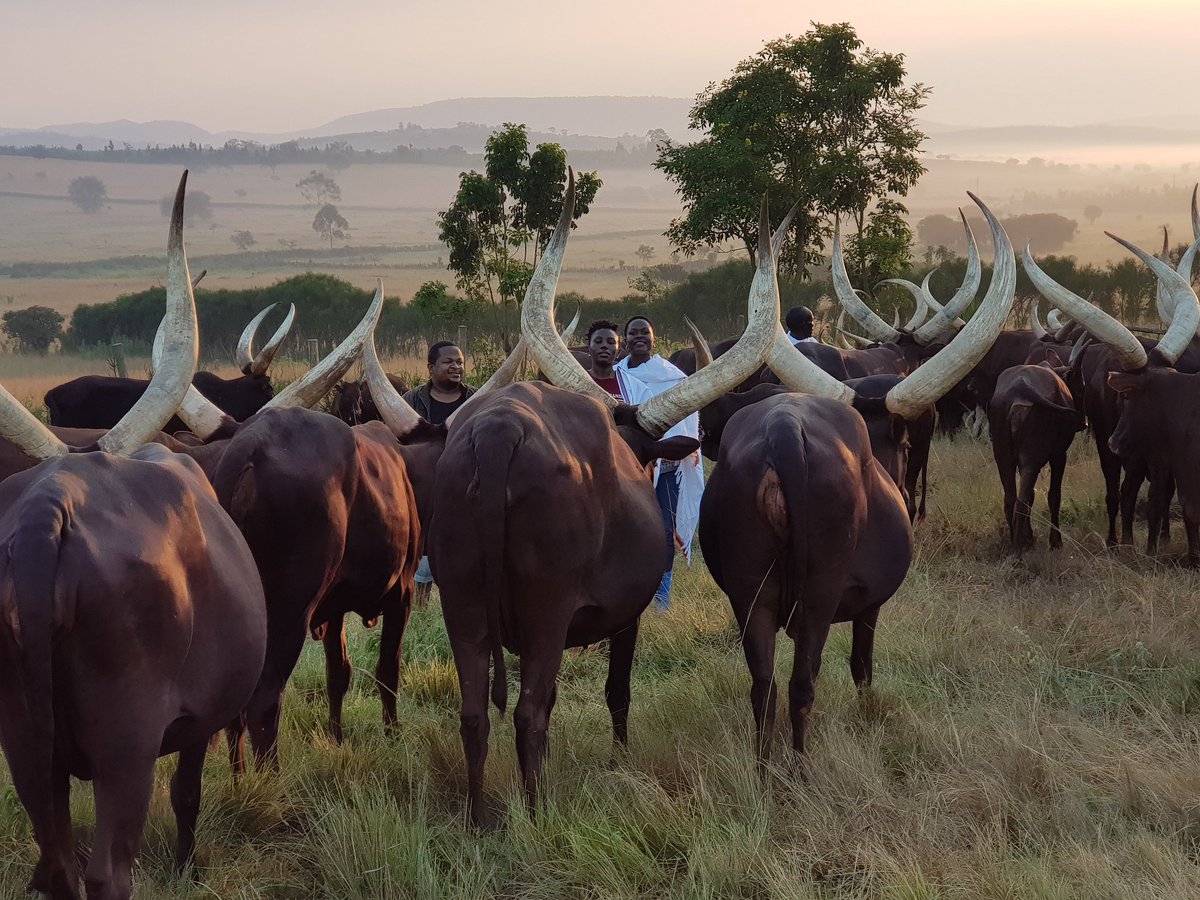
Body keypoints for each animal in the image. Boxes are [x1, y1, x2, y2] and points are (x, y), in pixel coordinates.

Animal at [0, 172, 268, 899]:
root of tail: (51, 506)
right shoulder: (195, 723)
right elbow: (187, 795)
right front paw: (185, 862)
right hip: (128, 746)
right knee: (105, 871)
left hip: (25, 746)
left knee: (60, 865)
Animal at [988, 363, 1085, 549]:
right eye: (1080, 385)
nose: (1084, 424)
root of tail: (1021, 388)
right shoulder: (1059, 456)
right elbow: (1054, 495)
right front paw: (1055, 541)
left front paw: (1030, 537)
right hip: (1031, 461)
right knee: (1021, 501)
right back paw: (1019, 549)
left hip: (1003, 458)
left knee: (1011, 499)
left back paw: (1016, 542)